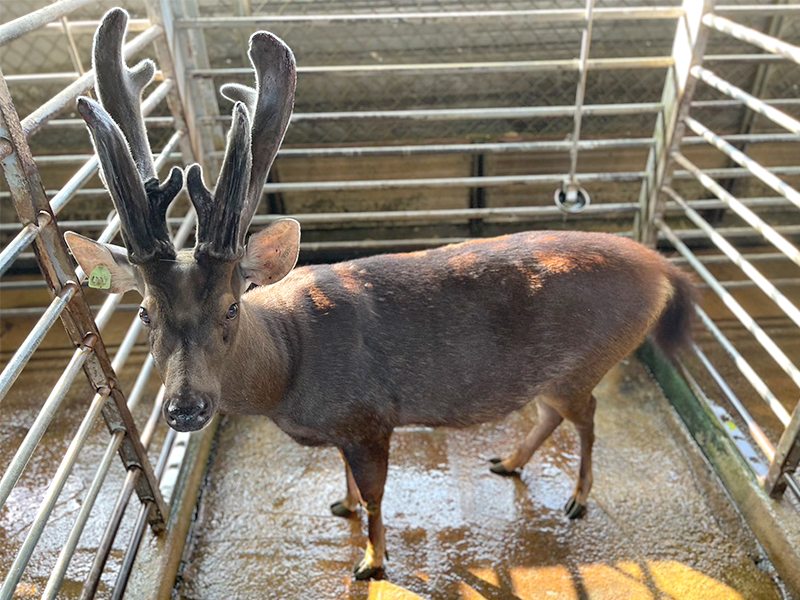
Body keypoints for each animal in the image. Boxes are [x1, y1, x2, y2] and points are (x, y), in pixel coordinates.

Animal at [65, 8, 696, 580]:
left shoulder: (369, 415)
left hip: (587, 358)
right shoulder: (345, 428)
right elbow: (345, 479)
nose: (185, 407)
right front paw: (340, 506)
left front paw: (372, 560)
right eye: (143, 313)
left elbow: (375, 494)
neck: (290, 369)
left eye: (232, 305)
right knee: (549, 413)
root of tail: (660, 267)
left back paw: (578, 498)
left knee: (586, 414)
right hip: (554, 371)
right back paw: (507, 461)